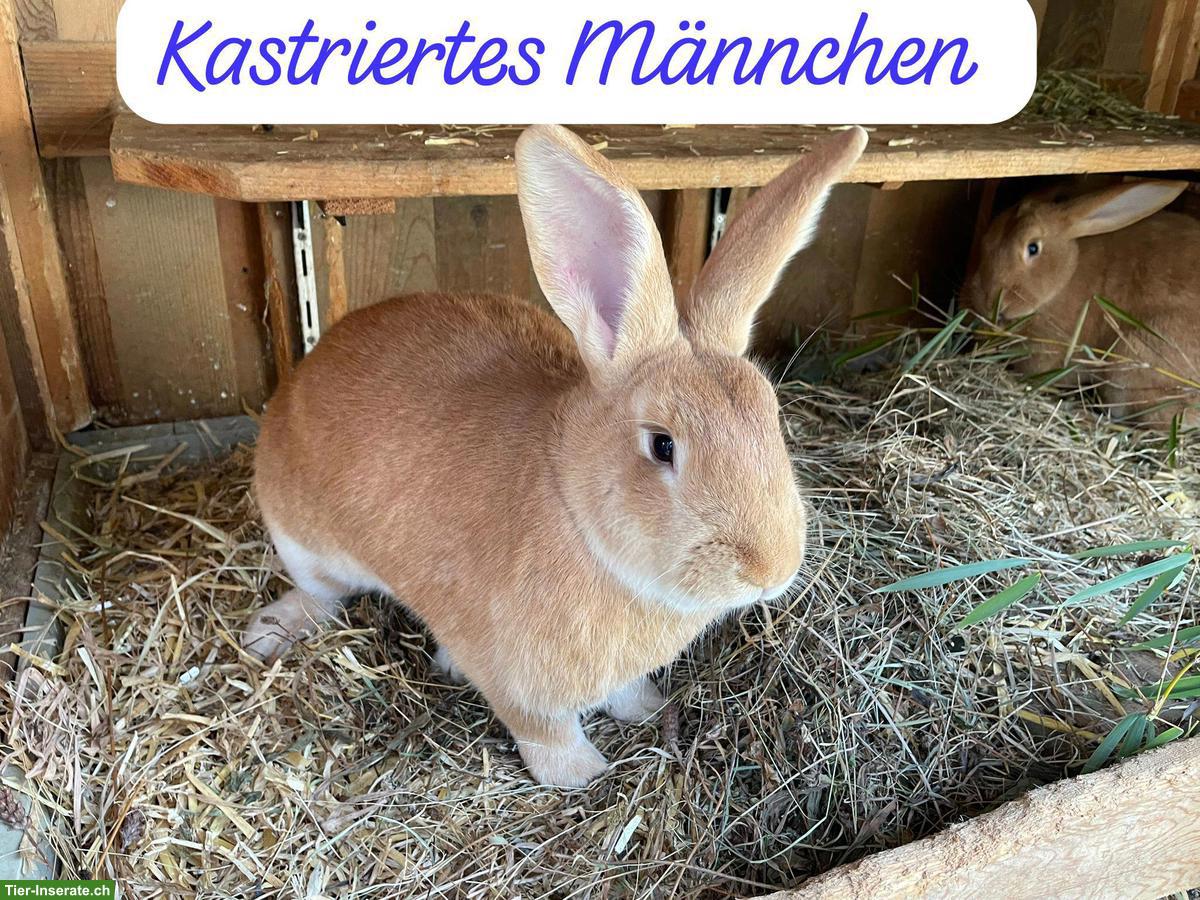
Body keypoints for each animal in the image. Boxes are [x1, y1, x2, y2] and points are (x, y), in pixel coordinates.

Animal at [242, 124, 869, 787]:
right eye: (662, 445)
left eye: (771, 416)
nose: (770, 569)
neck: (578, 515)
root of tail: (304, 374)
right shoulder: (518, 684)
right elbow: (544, 731)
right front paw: (584, 775)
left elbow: (624, 693)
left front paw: (648, 709)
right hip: (302, 540)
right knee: (320, 594)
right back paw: (267, 634)